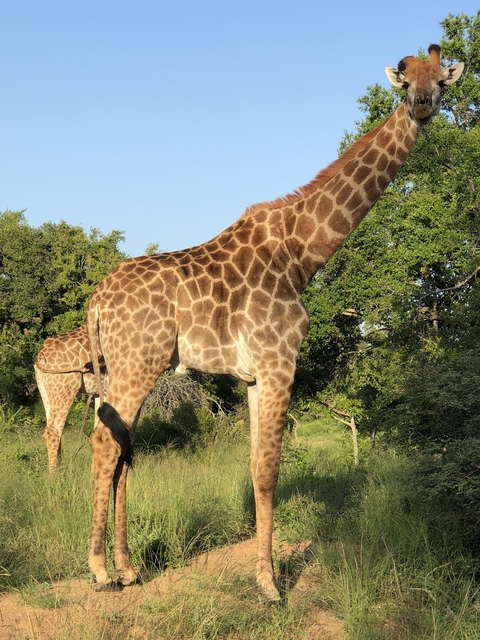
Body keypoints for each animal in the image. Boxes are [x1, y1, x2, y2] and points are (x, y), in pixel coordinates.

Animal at [35, 324, 108, 473]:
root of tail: (41, 357)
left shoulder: (100, 393)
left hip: (45, 391)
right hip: (64, 388)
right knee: (53, 431)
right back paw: (54, 476)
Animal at [85, 45, 463, 600]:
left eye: (440, 81)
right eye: (403, 81)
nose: (420, 105)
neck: (302, 253)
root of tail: (95, 301)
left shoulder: (253, 374)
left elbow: (254, 465)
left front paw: (263, 575)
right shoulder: (280, 360)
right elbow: (269, 470)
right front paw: (269, 584)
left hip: (121, 366)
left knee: (120, 447)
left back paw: (128, 568)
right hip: (139, 362)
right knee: (106, 443)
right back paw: (99, 570)